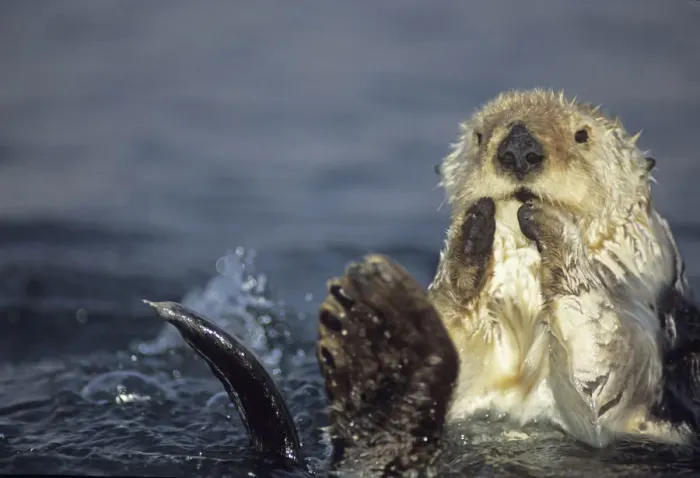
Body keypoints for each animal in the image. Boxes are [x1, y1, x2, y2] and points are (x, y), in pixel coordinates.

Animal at [145, 90, 700, 477]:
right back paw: (377, 343)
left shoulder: (642, 341)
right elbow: (456, 335)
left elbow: (602, 375)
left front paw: (551, 227)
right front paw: (469, 239)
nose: (519, 146)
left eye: (583, 135)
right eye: (480, 135)